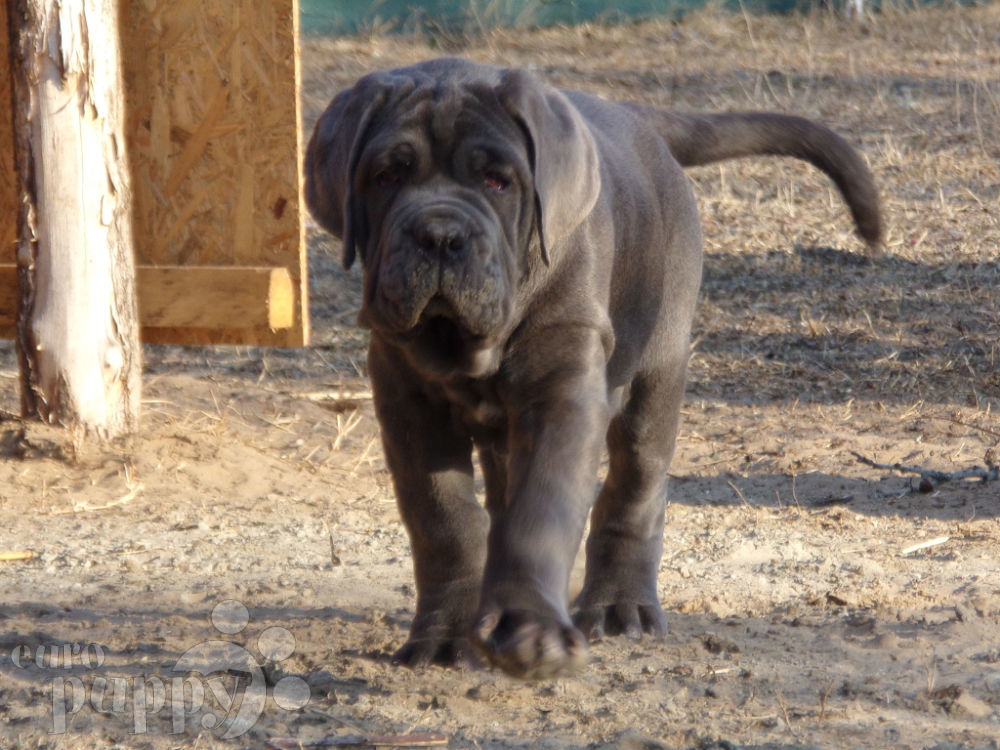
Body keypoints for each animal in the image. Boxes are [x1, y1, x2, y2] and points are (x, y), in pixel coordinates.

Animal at [306, 57, 884, 680]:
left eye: (497, 181)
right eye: (387, 175)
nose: (439, 235)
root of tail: (636, 115)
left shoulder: (565, 388)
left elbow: (541, 509)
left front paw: (526, 626)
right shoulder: (406, 401)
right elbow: (444, 518)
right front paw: (445, 635)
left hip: (658, 367)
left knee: (636, 486)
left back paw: (618, 606)